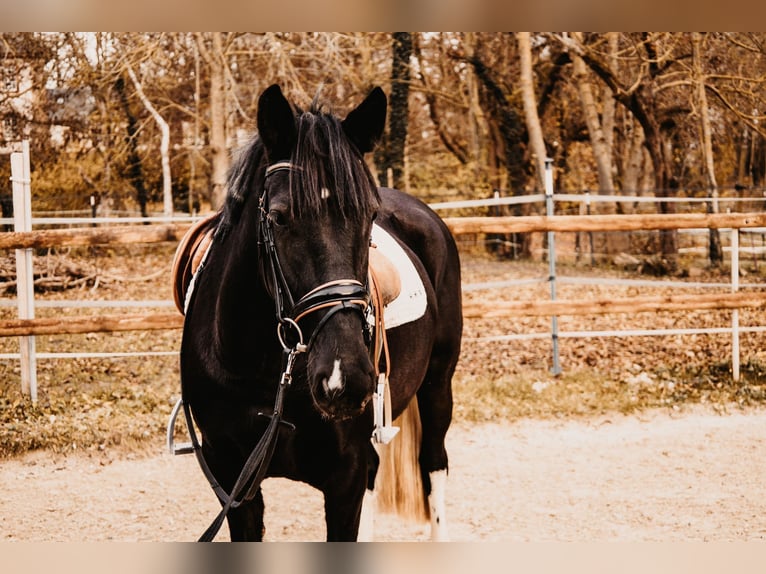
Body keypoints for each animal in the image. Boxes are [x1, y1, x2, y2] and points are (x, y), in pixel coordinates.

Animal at [174, 83, 462, 544]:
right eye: (278, 218)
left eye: (370, 215)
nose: (344, 377)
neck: (264, 374)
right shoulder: (233, 483)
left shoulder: (344, 478)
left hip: (438, 383)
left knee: (433, 463)